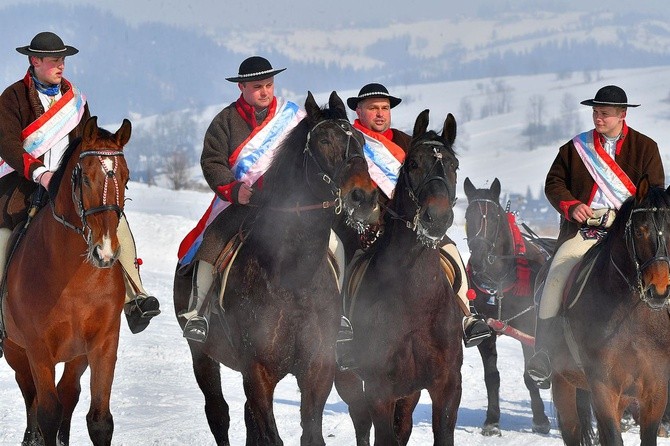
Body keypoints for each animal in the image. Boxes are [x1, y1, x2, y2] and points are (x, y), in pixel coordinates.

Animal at [2, 116, 131, 444]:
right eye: (84, 179)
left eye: (126, 179)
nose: (105, 251)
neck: (75, 281)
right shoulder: (37, 348)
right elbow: (48, 412)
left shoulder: (102, 344)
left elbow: (99, 420)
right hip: (15, 350)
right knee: (31, 394)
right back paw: (30, 436)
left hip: (75, 357)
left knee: (68, 393)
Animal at [173, 91, 380, 446]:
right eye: (324, 140)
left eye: (361, 140)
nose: (363, 197)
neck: (291, 276)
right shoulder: (257, 372)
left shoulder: (317, 370)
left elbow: (311, 434)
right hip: (201, 355)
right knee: (218, 413)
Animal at [336, 110, 468, 446]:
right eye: (413, 164)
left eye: (453, 166)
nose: (437, 218)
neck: (415, 300)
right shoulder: (379, 390)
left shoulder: (446, 387)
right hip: (348, 381)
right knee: (360, 423)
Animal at [462, 178, 556, 436]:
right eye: (467, 215)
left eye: (495, 217)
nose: (478, 260)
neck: (500, 281)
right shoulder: (487, 331)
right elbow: (491, 377)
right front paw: (492, 421)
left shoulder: (527, 328)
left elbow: (529, 376)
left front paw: (540, 420)